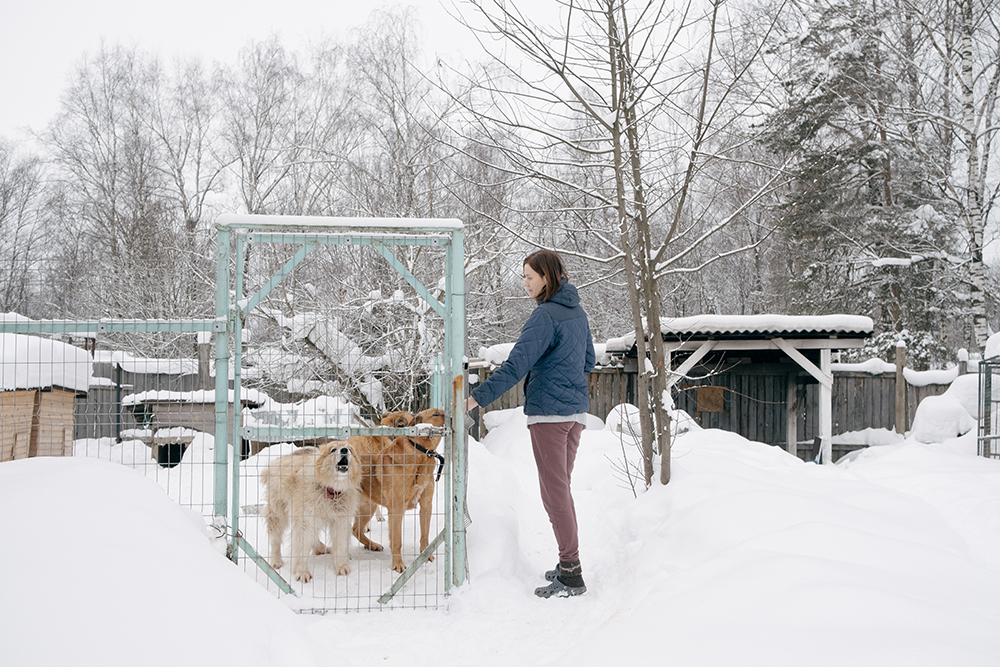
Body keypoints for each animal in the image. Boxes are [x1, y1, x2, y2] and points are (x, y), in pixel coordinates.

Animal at [262, 440, 364, 580]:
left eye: (349, 449)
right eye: (333, 450)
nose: (344, 450)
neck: (330, 491)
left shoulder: (340, 521)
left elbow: (341, 545)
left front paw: (341, 566)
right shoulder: (305, 522)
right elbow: (301, 548)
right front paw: (301, 572)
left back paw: (321, 549)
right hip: (278, 513)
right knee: (275, 539)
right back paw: (276, 561)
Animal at [352, 408, 446, 576]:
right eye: (436, 414)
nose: (450, 415)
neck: (419, 453)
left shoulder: (426, 506)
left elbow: (425, 535)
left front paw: (426, 556)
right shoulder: (396, 509)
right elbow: (397, 541)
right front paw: (398, 565)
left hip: (368, 506)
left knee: (356, 529)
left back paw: (372, 545)